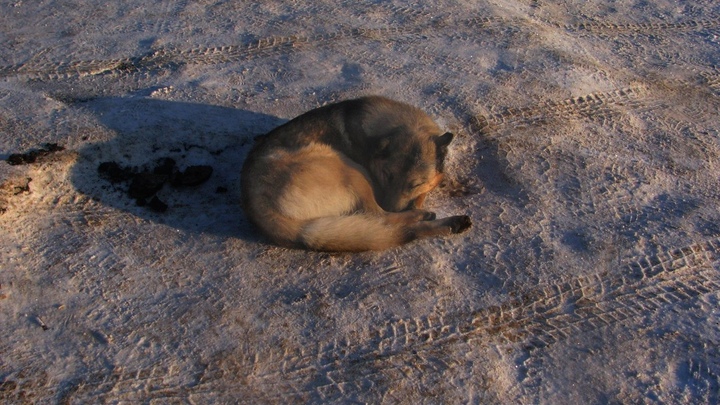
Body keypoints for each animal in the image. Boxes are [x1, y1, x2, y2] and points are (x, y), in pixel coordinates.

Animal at [239, 96, 470, 251]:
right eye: (387, 175)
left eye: (415, 184)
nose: (391, 204)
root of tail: (258, 207)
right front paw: (416, 208)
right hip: (351, 170)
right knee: (381, 217)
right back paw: (427, 217)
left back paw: (453, 223)